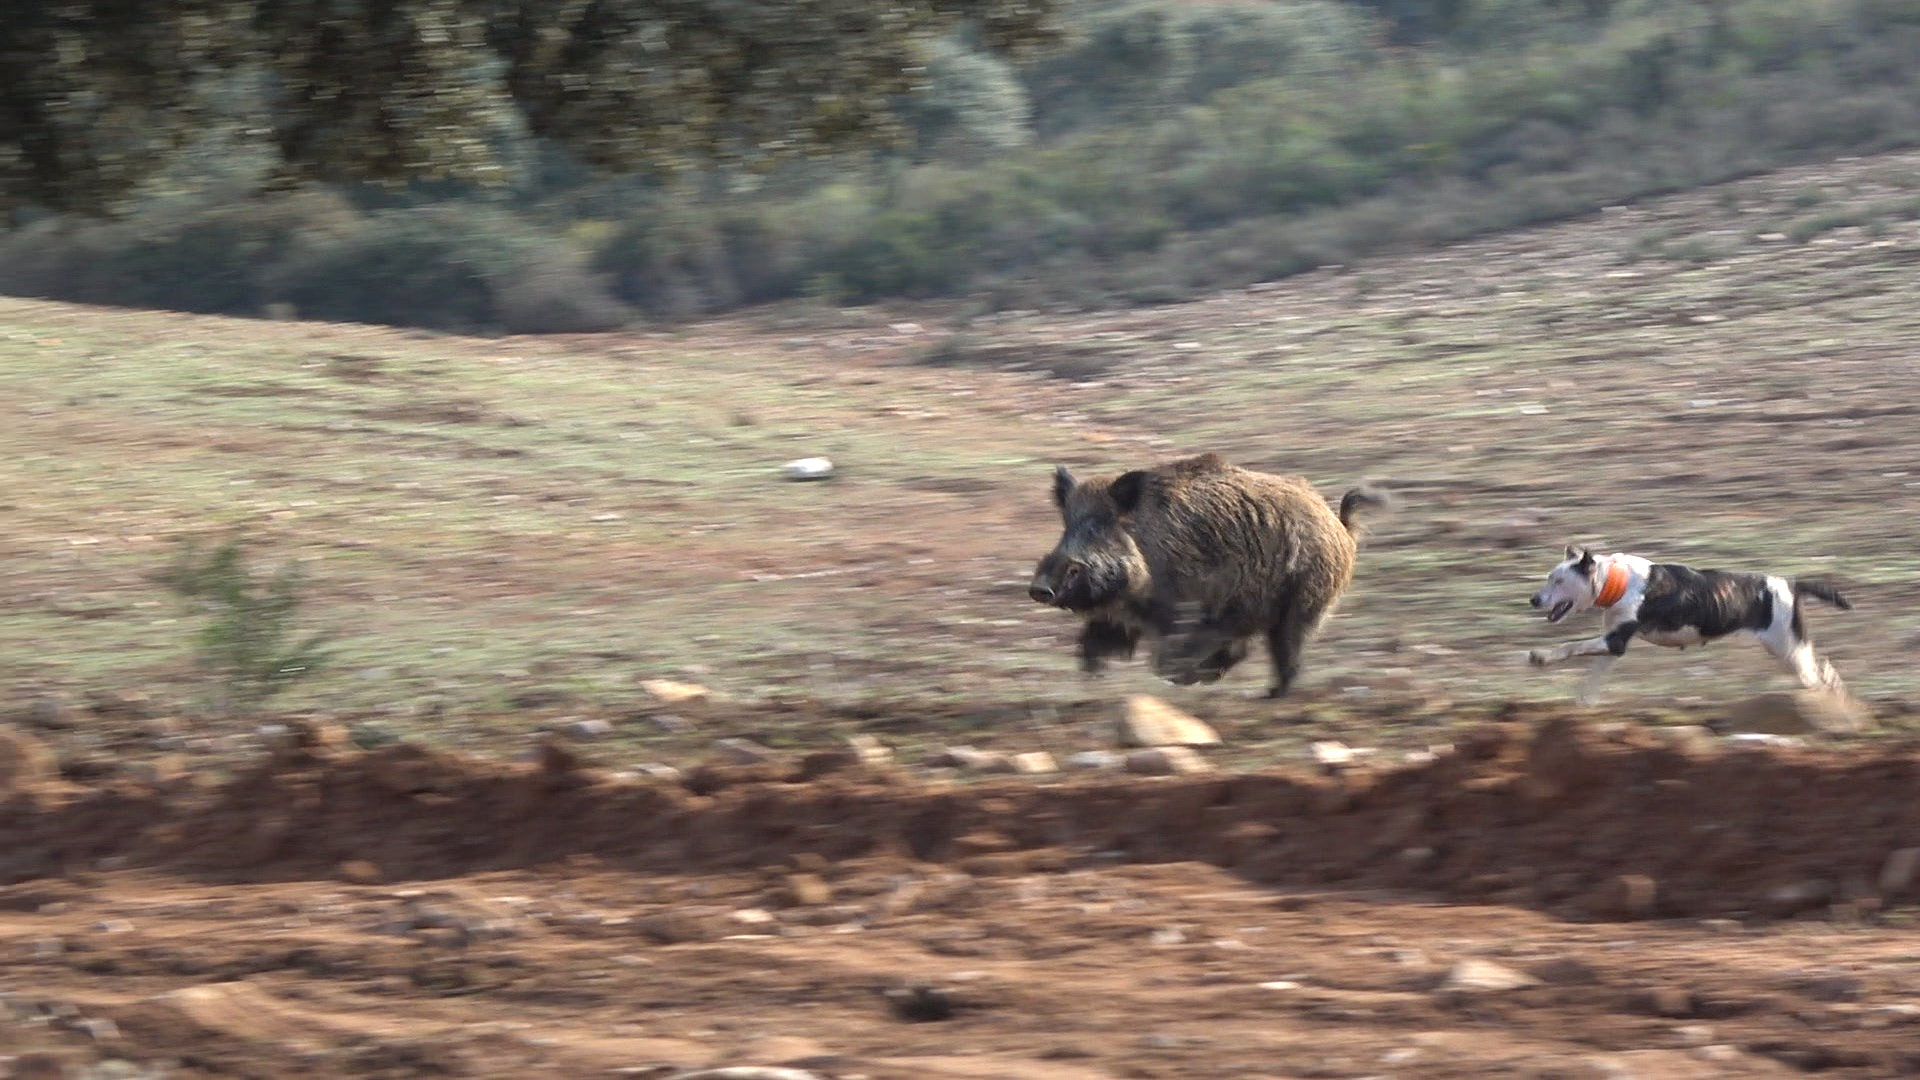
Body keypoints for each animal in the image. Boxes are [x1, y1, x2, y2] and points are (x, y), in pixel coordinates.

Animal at [1520, 541, 1850, 703]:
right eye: (1549, 576)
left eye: (1559, 580)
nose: (1534, 600)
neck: (1616, 581)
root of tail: (1792, 584)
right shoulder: (1613, 645)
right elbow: (1592, 677)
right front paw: (1584, 703)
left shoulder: (1615, 641)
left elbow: (1570, 645)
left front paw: (1541, 656)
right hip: (1788, 648)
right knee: (1823, 669)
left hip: (1788, 647)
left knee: (1815, 676)